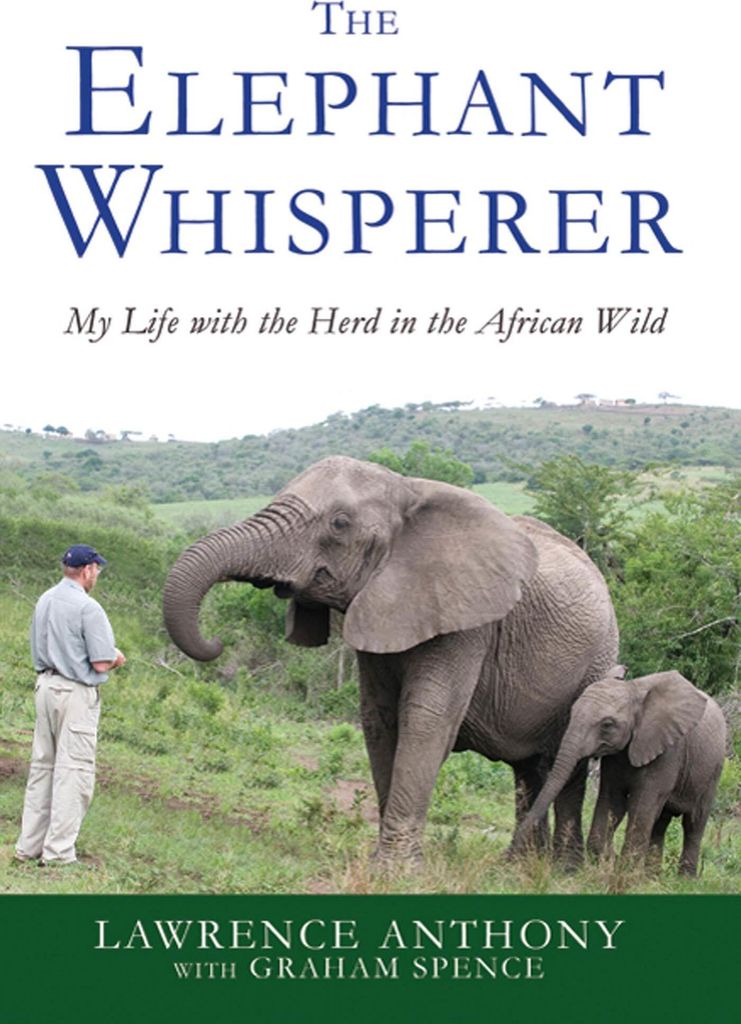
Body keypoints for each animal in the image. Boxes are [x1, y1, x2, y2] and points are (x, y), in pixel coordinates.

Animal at [163, 456, 619, 863]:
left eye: (340, 523)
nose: (216, 642)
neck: (407, 490)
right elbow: (380, 719)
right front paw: (381, 860)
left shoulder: (469, 621)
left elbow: (426, 719)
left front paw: (396, 870)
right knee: (527, 769)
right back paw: (521, 864)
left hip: (599, 661)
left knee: (569, 766)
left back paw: (561, 868)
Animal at [510, 668, 727, 875]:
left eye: (607, 725)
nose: (508, 856)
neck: (633, 689)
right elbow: (613, 801)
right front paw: (609, 864)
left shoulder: (668, 752)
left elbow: (641, 806)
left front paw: (625, 873)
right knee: (660, 823)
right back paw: (652, 877)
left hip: (713, 772)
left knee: (693, 823)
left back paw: (685, 879)